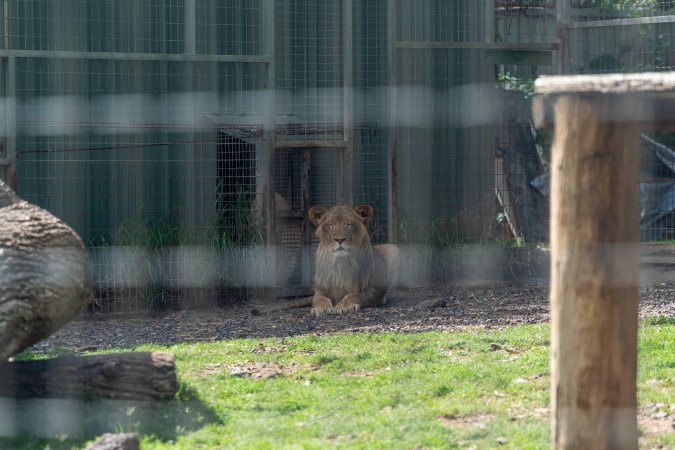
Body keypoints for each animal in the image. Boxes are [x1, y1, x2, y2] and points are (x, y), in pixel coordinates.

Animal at [251, 204, 400, 317]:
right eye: (330, 225)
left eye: (349, 224)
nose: (339, 239)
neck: (340, 263)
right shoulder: (320, 289)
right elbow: (318, 299)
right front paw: (321, 308)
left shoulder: (370, 290)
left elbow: (353, 295)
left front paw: (345, 306)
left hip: (393, 248)